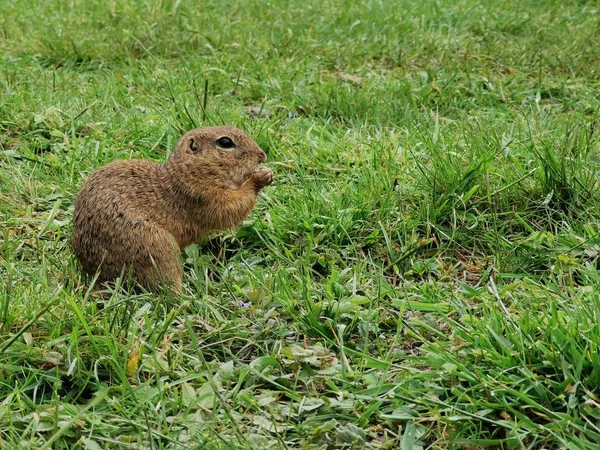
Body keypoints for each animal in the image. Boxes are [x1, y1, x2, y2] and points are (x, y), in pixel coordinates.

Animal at [71, 125, 274, 292]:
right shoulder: (203, 196)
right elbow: (230, 208)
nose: (262, 155)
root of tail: (99, 278)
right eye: (225, 142)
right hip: (156, 246)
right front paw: (260, 177)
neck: (185, 173)